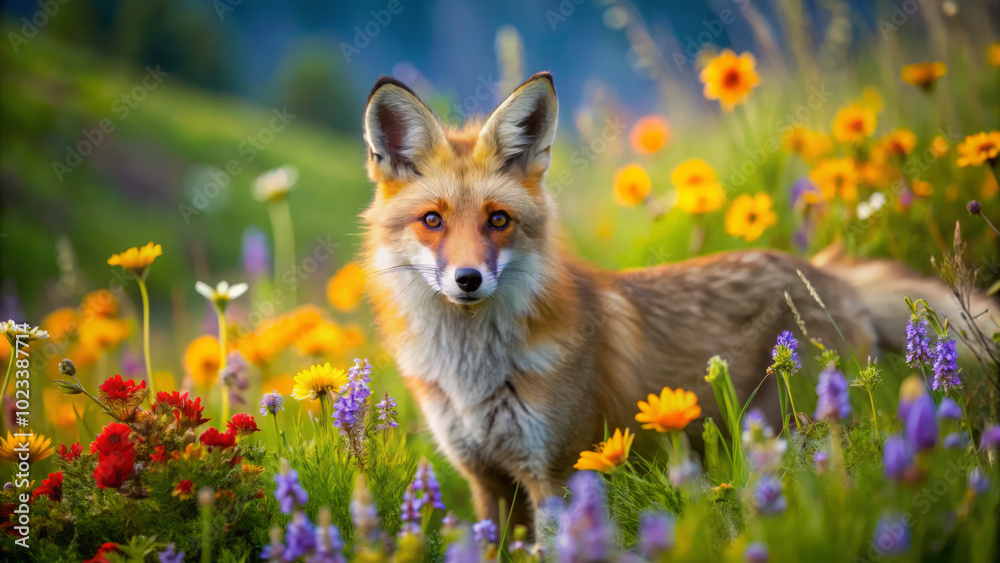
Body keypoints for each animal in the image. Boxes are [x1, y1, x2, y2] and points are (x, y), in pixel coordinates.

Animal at [359, 71, 998, 534]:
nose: (468, 280)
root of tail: (826, 270)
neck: (473, 376)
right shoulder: (486, 483)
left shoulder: (555, 475)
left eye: (498, 220)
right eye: (433, 220)